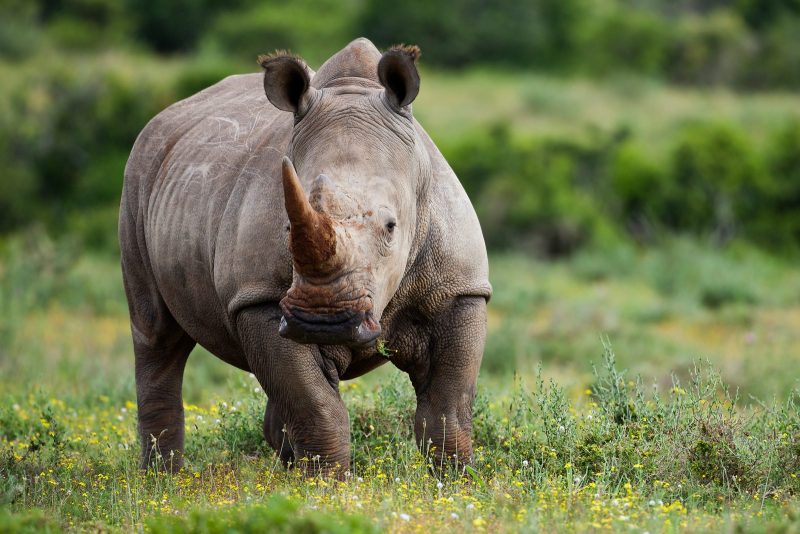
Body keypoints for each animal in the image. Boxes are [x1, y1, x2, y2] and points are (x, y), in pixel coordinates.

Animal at [119, 38, 491, 474]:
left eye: (391, 226)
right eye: (286, 229)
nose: (323, 321)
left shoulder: (460, 288)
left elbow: (448, 407)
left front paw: (452, 480)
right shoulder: (258, 298)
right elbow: (315, 406)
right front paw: (327, 484)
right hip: (138, 176)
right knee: (157, 335)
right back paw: (164, 482)